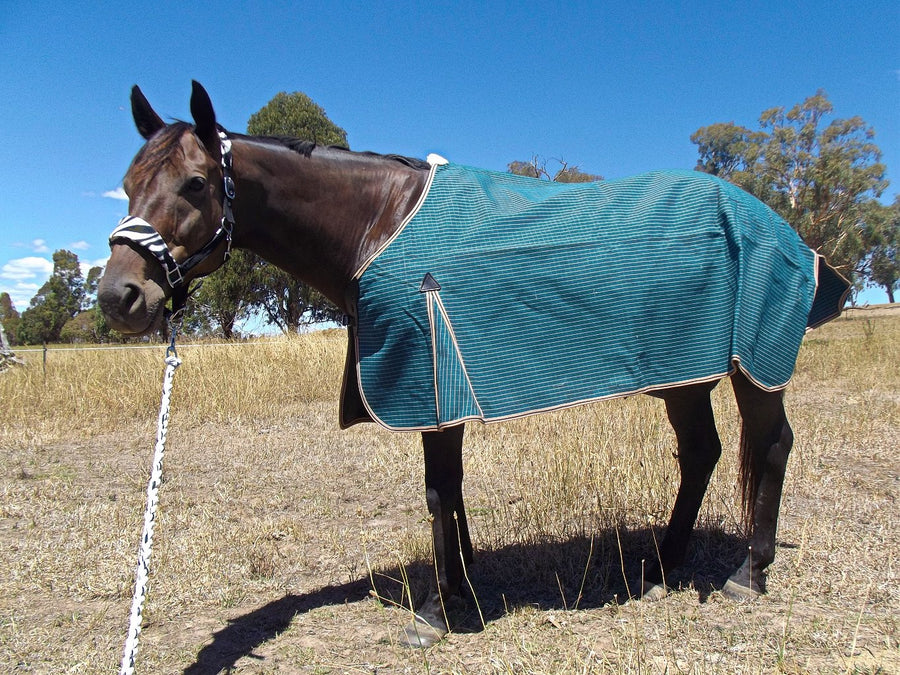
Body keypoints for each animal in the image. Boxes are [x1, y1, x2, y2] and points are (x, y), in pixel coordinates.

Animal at [100, 82, 852, 648]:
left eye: (196, 183)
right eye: (128, 183)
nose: (119, 297)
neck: (377, 222)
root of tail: (783, 229)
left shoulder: (428, 385)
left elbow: (439, 493)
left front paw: (437, 613)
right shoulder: (439, 392)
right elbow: (451, 492)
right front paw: (462, 591)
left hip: (752, 367)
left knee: (771, 444)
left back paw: (748, 573)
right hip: (682, 372)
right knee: (701, 451)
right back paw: (662, 564)